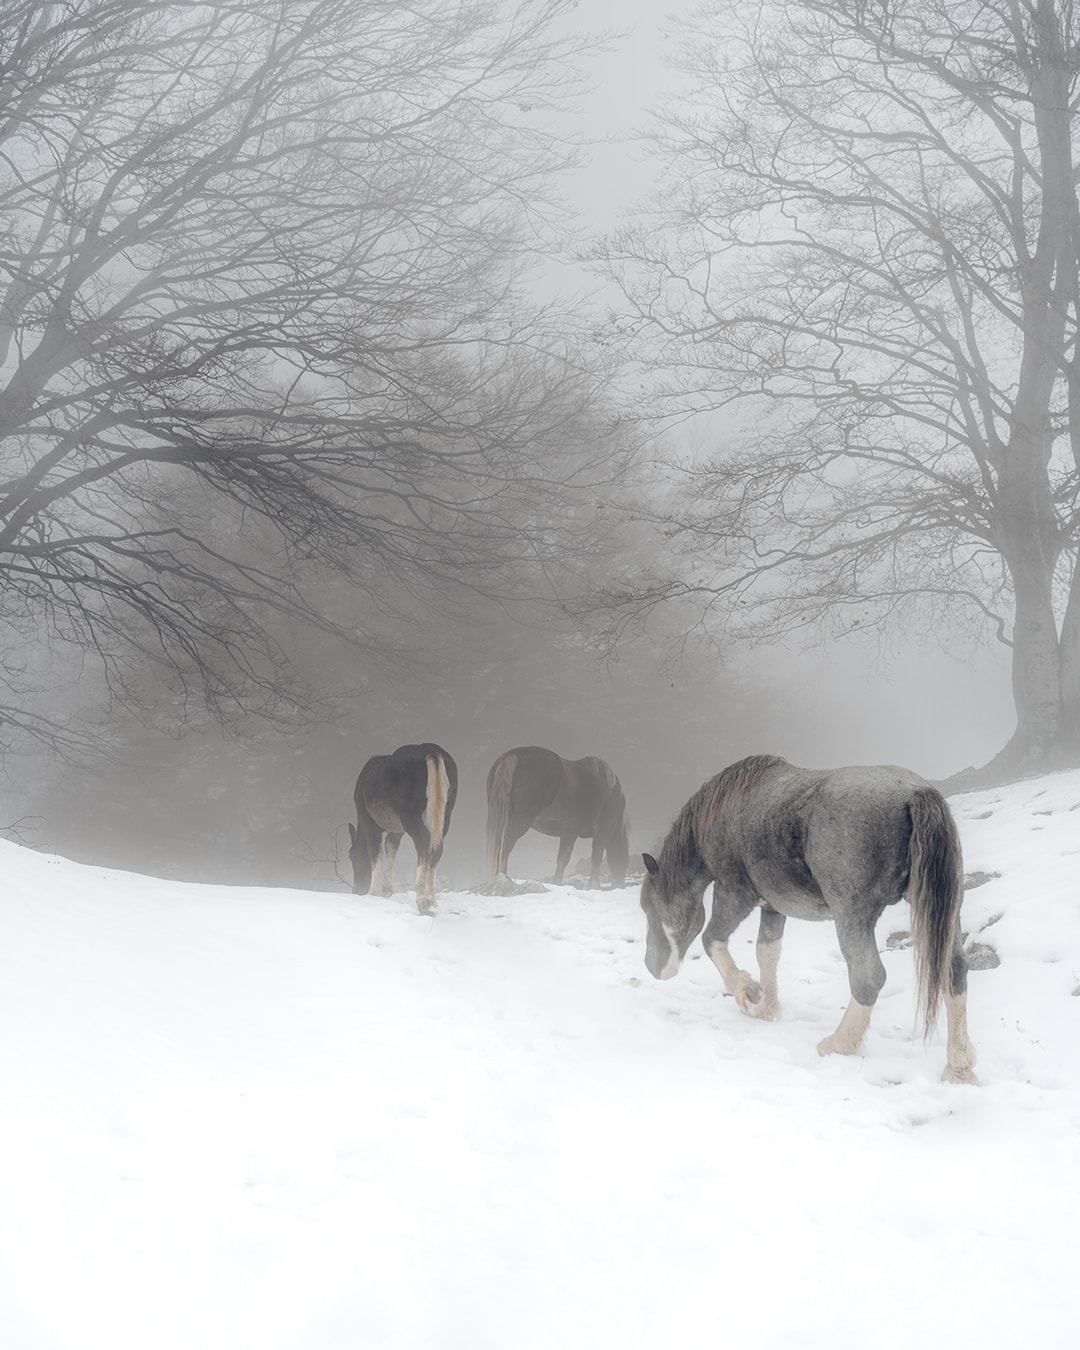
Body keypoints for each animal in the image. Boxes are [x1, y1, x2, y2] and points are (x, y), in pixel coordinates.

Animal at [351, 739, 456, 918]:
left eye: (351, 857)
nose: (356, 889)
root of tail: (432, 752)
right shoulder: (396, 829)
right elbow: (391, 848)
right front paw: (386, 888)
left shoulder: (368, 821)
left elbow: (375, 852)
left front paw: (373, 891)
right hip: (445, 812)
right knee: (437, 846)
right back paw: (432, 898)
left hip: (410, 813)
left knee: (423, 841)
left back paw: (422, 898)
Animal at [486, 750, 629, 885]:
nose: (620, 885)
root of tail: (511, 756)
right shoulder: (603, 831)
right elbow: (596, 856)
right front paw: (594, 886)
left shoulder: (569, 833)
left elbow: (562, 859)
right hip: (519, 822)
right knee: (504, 850)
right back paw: (503, 878)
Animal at [642, 756, 977, 1080]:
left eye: (647, 906)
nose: (651, 966)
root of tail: (914, 792)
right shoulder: (772, 906)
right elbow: (766, 953)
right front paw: (766, 1008)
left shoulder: (734, 893)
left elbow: (712, 940)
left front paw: (747, 992)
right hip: (945, 912)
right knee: (954, 970)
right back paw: (959, 1068)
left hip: (851, 916)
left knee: (868, 977)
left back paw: (838, 1045)